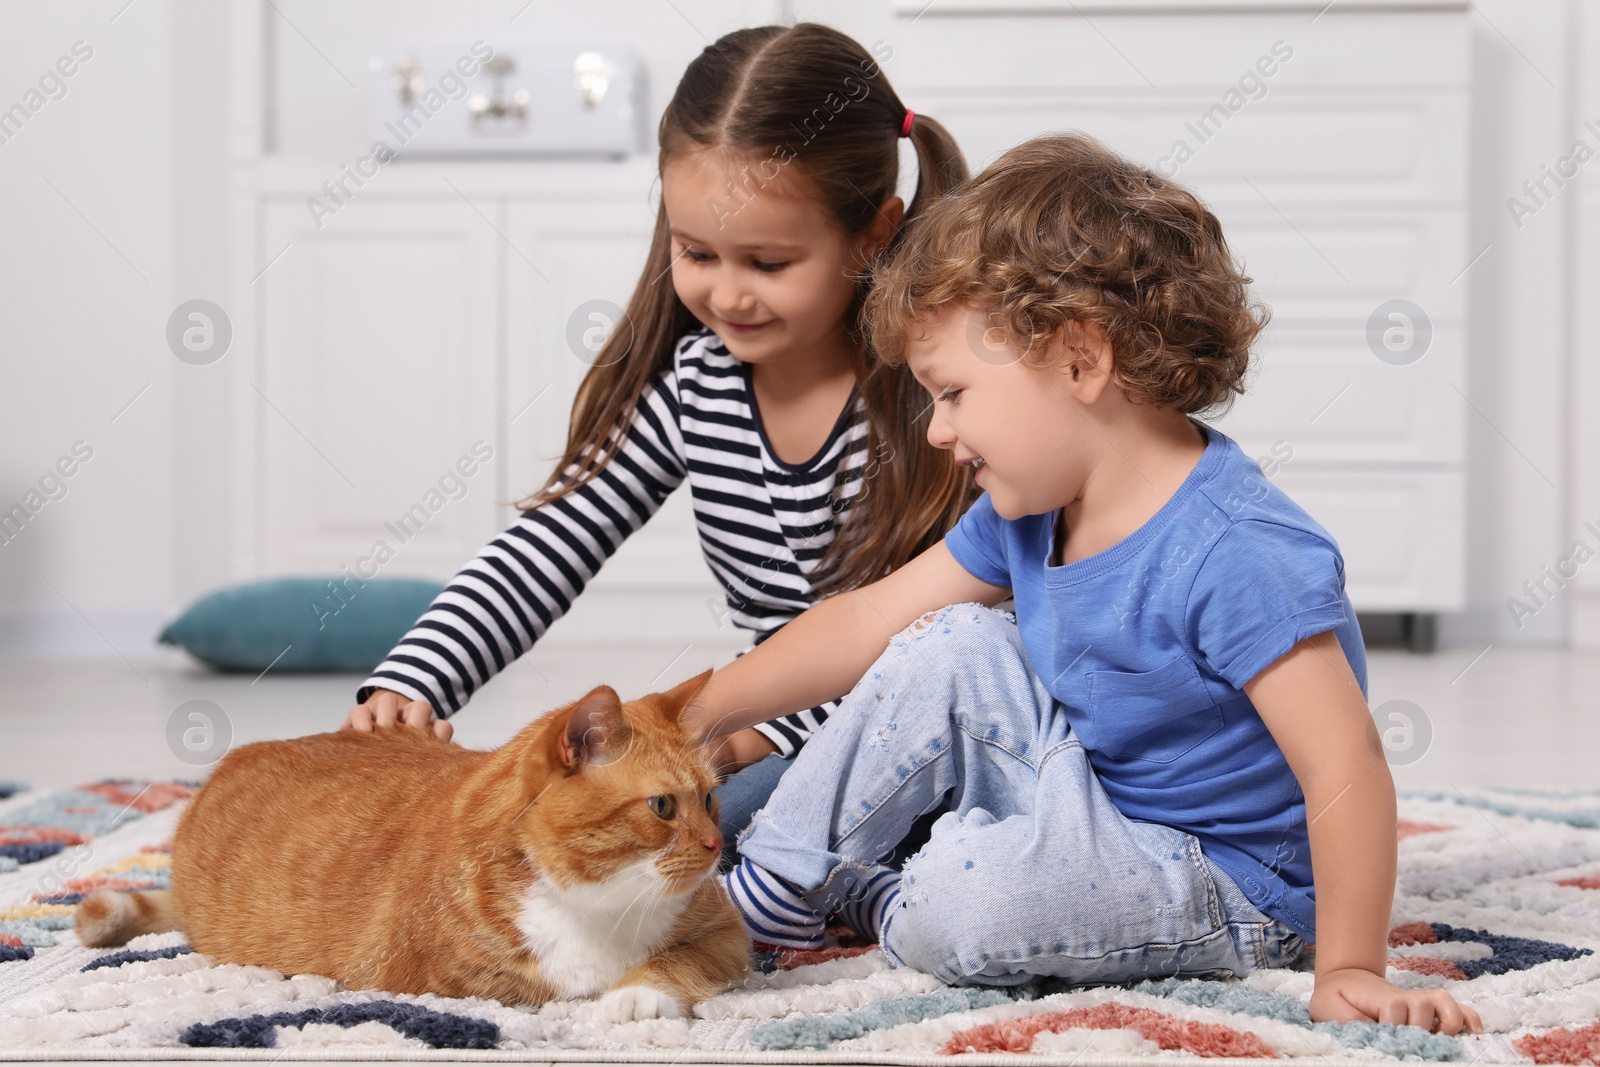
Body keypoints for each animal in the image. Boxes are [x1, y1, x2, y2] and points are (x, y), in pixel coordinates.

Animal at [75, 671, 748, 1023]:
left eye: (710, 799)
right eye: (663, 807)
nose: (717, 844)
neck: (598, 904)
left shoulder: (726, 933)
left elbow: (676, 962)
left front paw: (635, 994)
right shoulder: (466, 984)